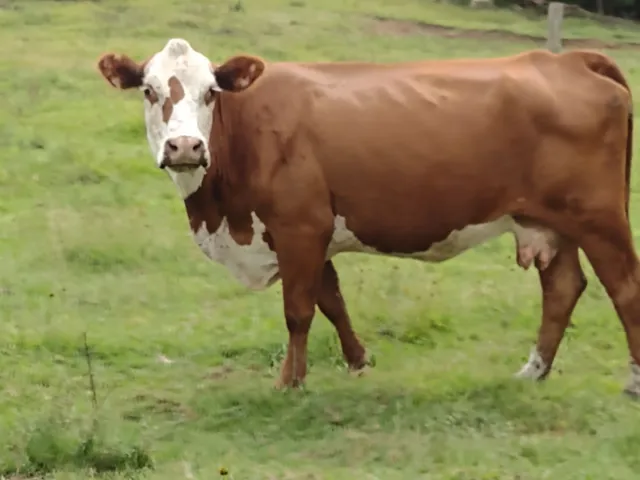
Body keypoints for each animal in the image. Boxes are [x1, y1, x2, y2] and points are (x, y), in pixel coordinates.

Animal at [97, 38, 639, 396]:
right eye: (148, 90)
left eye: (211, 91)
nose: (185, 146)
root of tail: (567, 59)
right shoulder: (310, 233)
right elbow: (332, 301)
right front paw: (358, 362)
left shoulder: (300, 227)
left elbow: (299, 311)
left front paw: (290, 382)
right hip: (550, 222)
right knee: (563, 288)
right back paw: (533, 371)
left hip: (599, 216)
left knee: (625, 288)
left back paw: (632, 380)